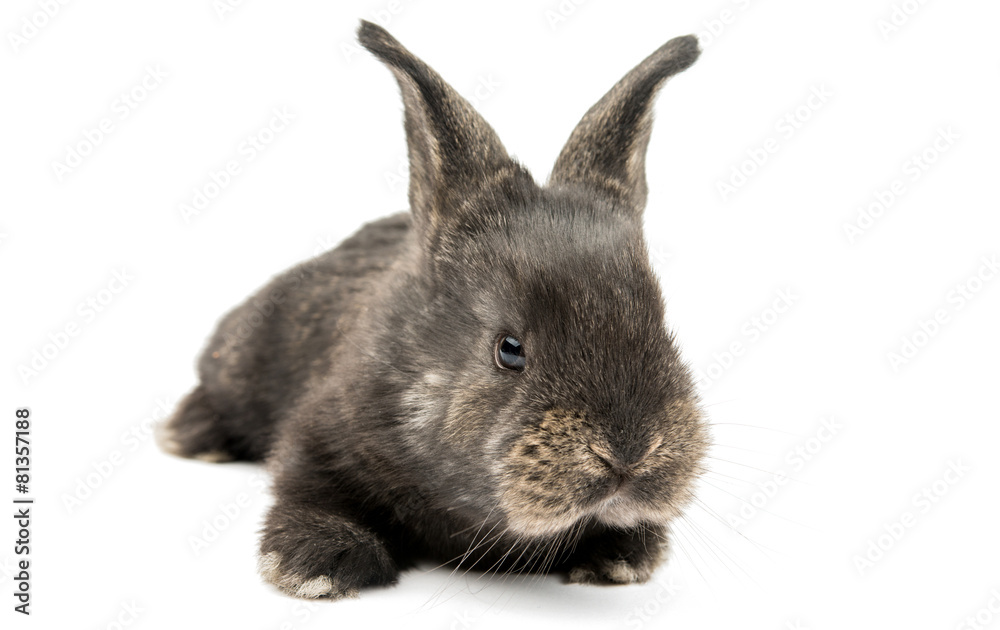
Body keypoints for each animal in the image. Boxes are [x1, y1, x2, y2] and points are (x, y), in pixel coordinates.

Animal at [158, 19, 708, 599]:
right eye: (509, 349)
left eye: (662, 325)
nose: (629, 452)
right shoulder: (315, 436)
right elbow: (308, 488)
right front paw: (318, 562)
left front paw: (623, 557)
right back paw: (193, 433)